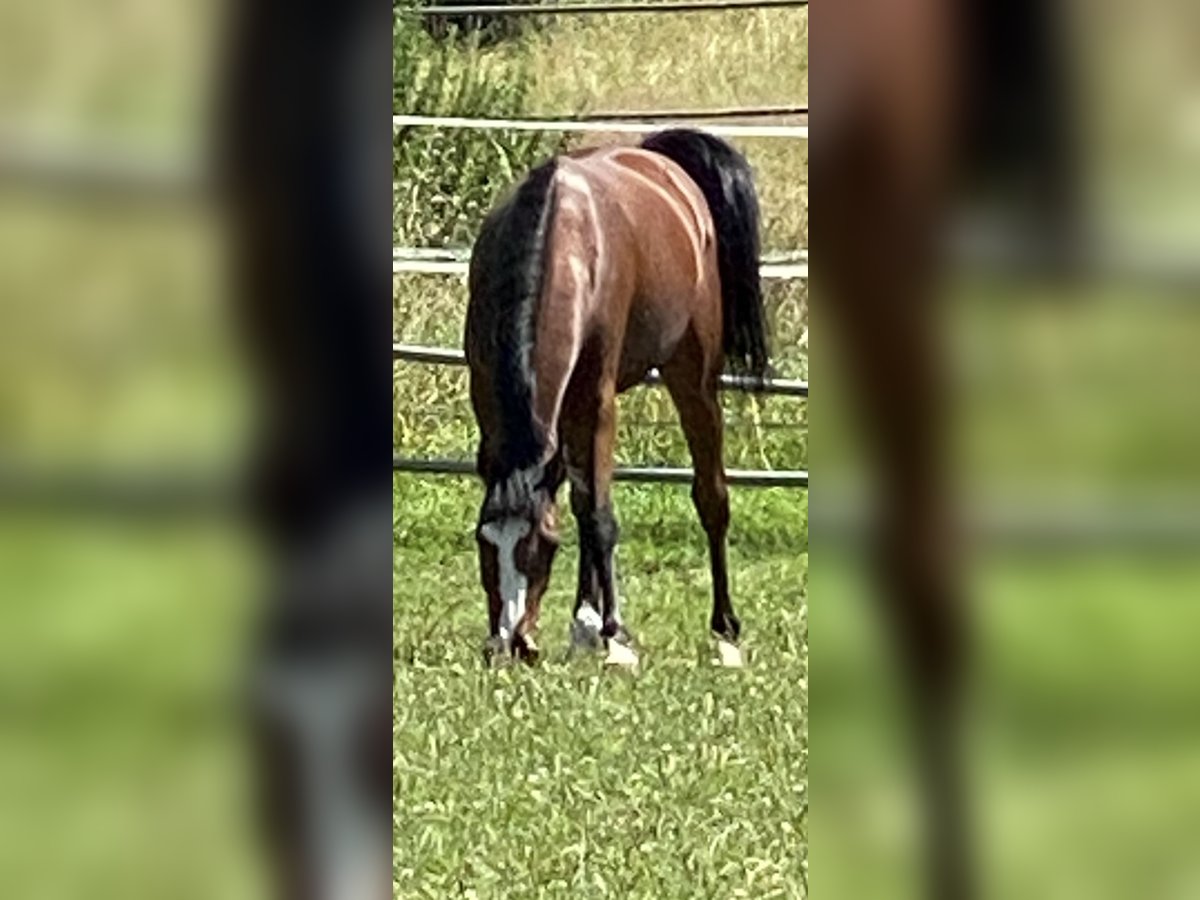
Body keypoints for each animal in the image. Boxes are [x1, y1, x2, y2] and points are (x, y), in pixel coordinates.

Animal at [460, 130, 768, 672]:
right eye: (484, 542)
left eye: (543, 547)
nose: (509, 643)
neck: (563, 243)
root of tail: (657, 157)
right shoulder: (489, 395)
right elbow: (582, 507)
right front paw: (588, 626)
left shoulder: (597, 398)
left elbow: (598, 518)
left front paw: (617, 636)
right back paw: (583, 622)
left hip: (693, 378)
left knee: (710, 496)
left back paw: (725, 629)